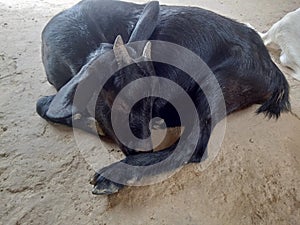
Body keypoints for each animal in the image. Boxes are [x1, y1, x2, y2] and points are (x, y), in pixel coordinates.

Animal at [36, 0, 290, 193]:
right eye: (117, 102)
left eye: (149, 99)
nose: (141, 148)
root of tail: (272, 70)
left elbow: (43, 106)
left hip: (216, 83)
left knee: (193, 145)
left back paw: (111, 176)